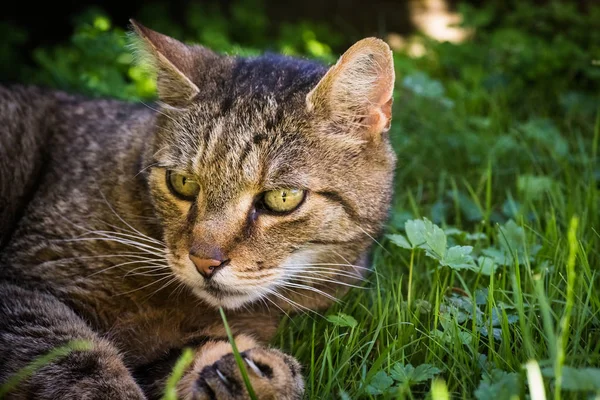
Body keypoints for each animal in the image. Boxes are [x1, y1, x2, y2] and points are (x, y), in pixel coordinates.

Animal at [0, 20, 398, 398]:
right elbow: (84, 368)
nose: (205, 262)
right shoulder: (23, 295)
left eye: (282, 198)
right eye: (182, 182)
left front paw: (254, 376)